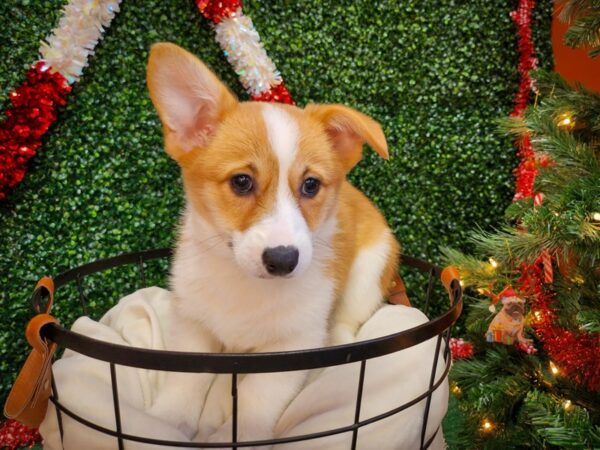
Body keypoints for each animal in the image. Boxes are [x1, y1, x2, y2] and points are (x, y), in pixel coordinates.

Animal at [144, 44, 398, 444]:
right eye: (242, 181)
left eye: (310, 185)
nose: (283, 260)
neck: (245, 285)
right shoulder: (193, 328)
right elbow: (185, 384)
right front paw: (167, 421)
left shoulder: (291, 347)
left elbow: (253, 399)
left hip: (369, 271)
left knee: (346, 324)